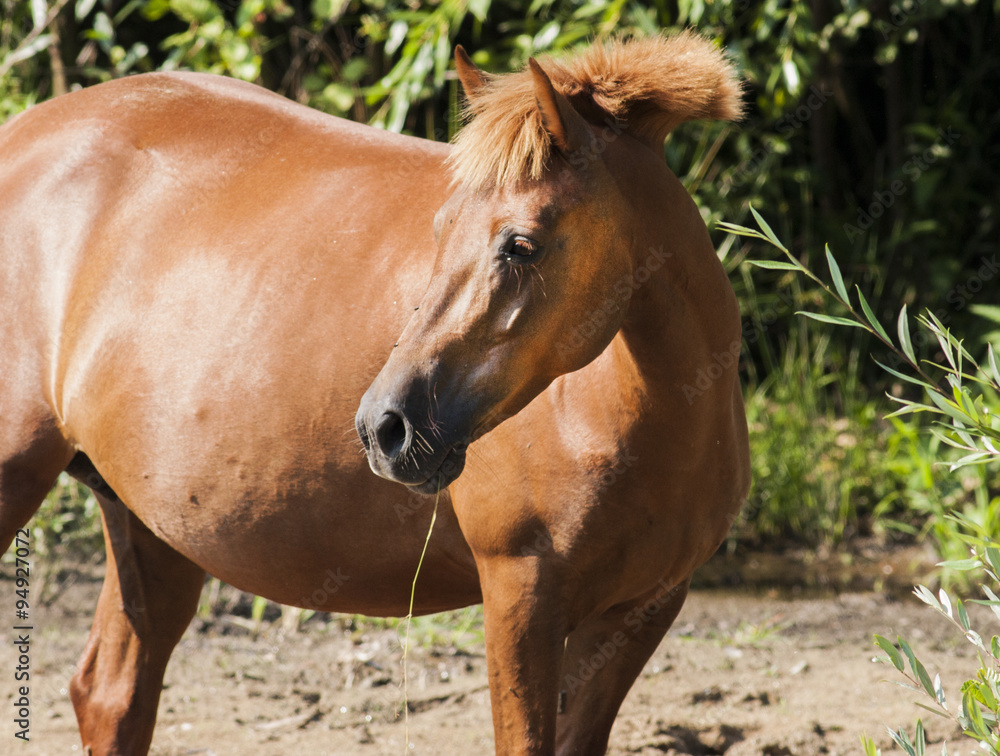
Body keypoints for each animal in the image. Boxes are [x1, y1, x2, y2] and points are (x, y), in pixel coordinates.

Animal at [0, 32, 748, 756]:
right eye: (442, 227)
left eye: (523, 244)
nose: (385, 426)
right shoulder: (522, 592)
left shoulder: (640, 610)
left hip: (149, 526)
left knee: (112, 695)